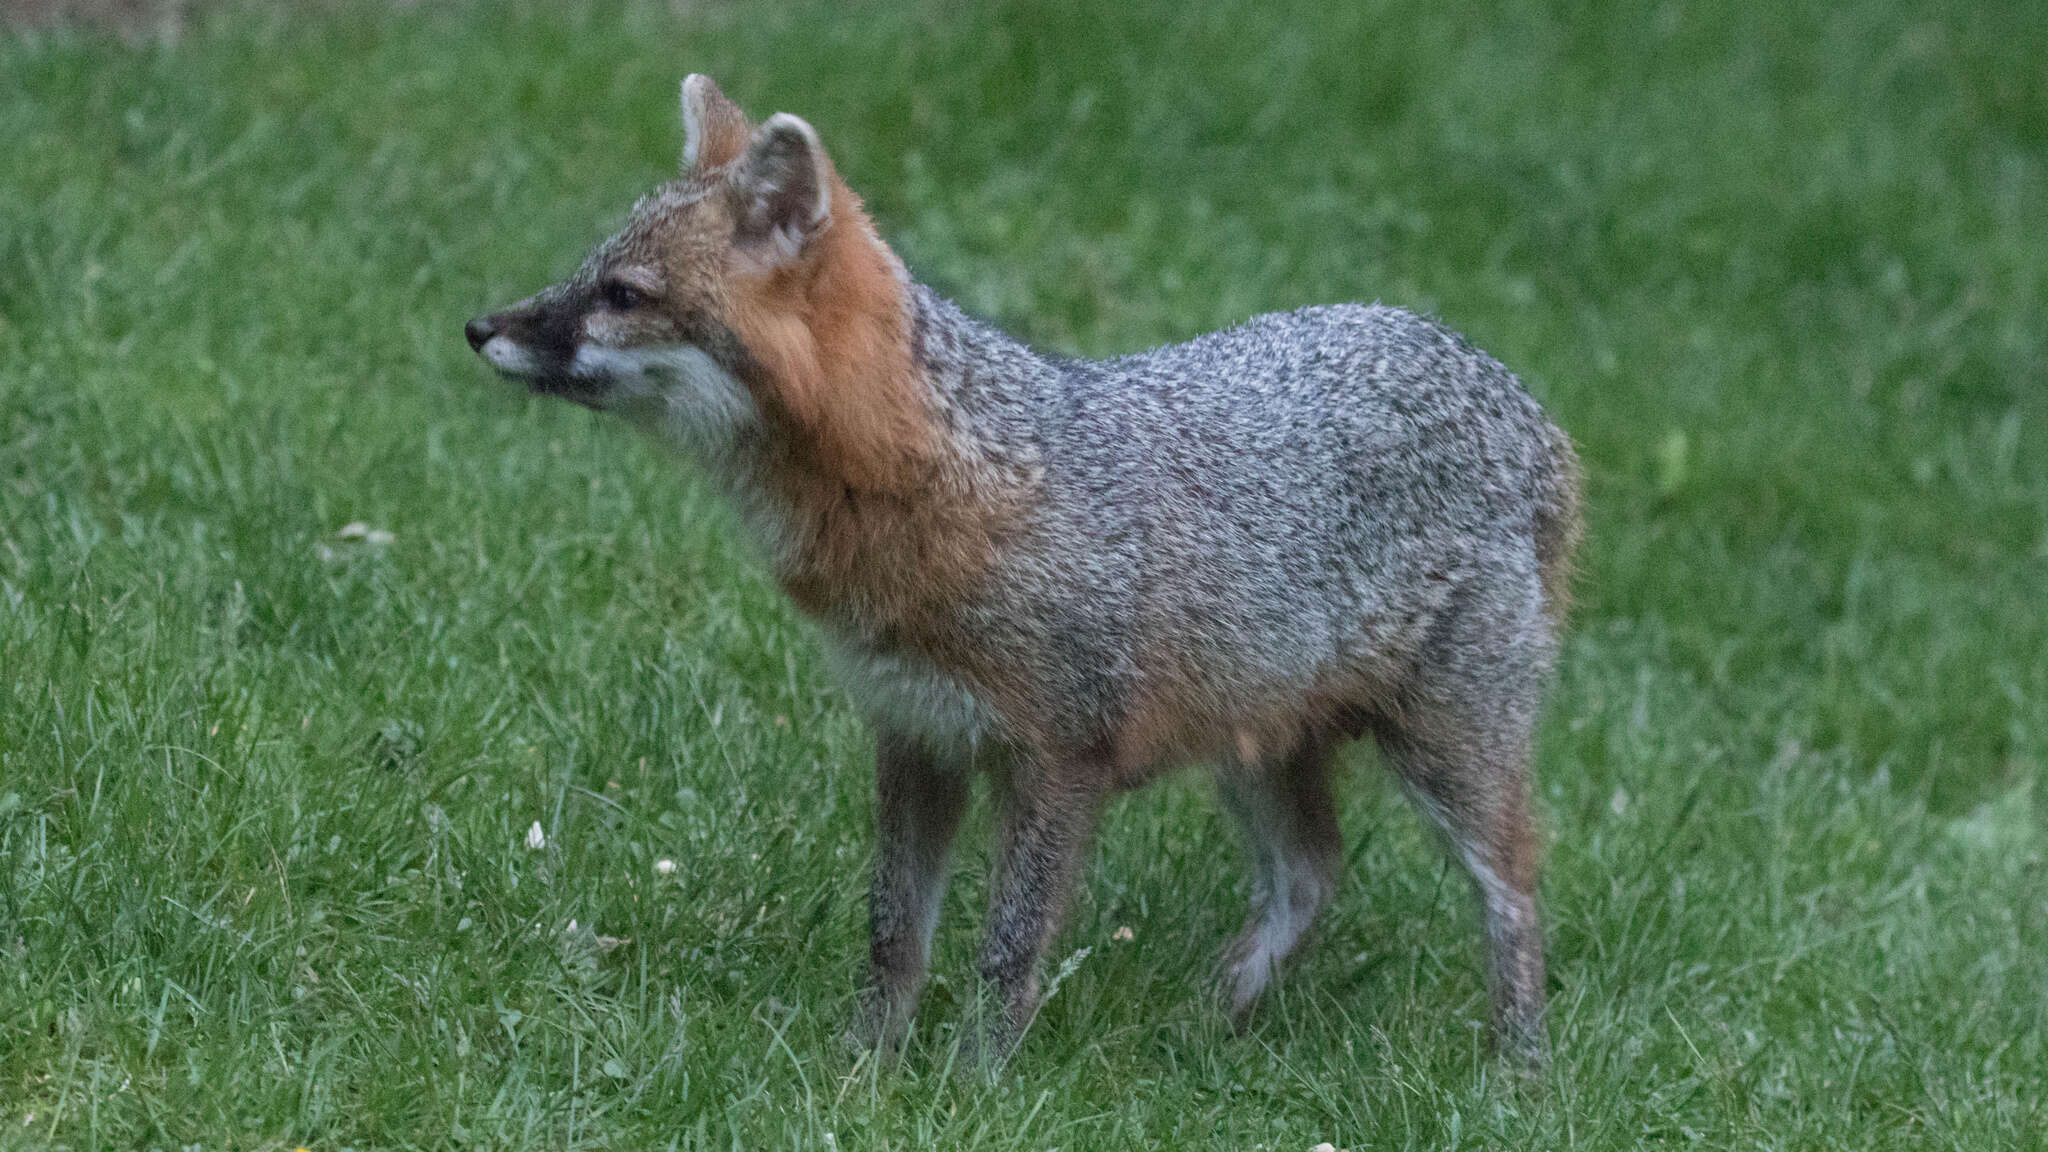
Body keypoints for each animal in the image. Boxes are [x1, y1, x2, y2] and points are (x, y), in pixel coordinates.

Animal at [468, 76, 1581, 1065]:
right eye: (586, 272)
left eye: (623, 296)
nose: (479, 326)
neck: (933, 487)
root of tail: (1512, 392)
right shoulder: (916, 735)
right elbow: (892, 937)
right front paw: (862, 1073)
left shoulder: (1059, 760)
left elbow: (1006, 954)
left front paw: (972, 1088)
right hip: (1253, 744)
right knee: (1311, 877)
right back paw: (1207, 1025)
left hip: (1447, 753)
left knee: (1514, 887)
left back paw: (1517, 1070)